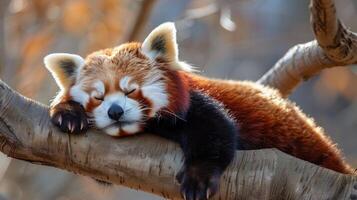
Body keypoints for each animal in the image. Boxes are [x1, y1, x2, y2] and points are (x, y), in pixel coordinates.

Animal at [44, 22, 354, 200]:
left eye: (131, 90)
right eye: (98, 97)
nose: (115, 112)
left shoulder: (197, 103)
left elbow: (216, 132)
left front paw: (198, 177)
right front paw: (68, 113)